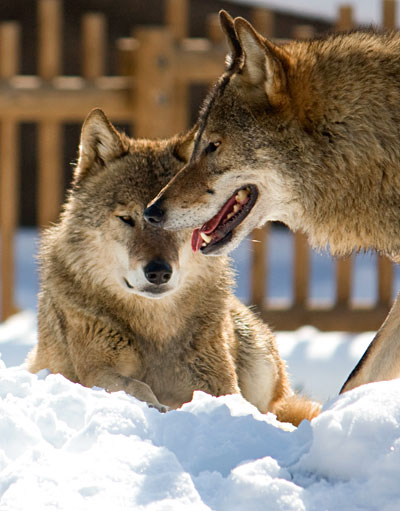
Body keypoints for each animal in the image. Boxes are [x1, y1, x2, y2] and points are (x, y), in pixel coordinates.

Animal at [25, 107, 318, 424]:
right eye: (127, 219)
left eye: (175, 219)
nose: (158, 272)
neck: (155, 328)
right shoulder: (97, 370)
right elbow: (136, 386)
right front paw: (157, 408)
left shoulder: (217, 380)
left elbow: (227, 399)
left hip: (259, 358)